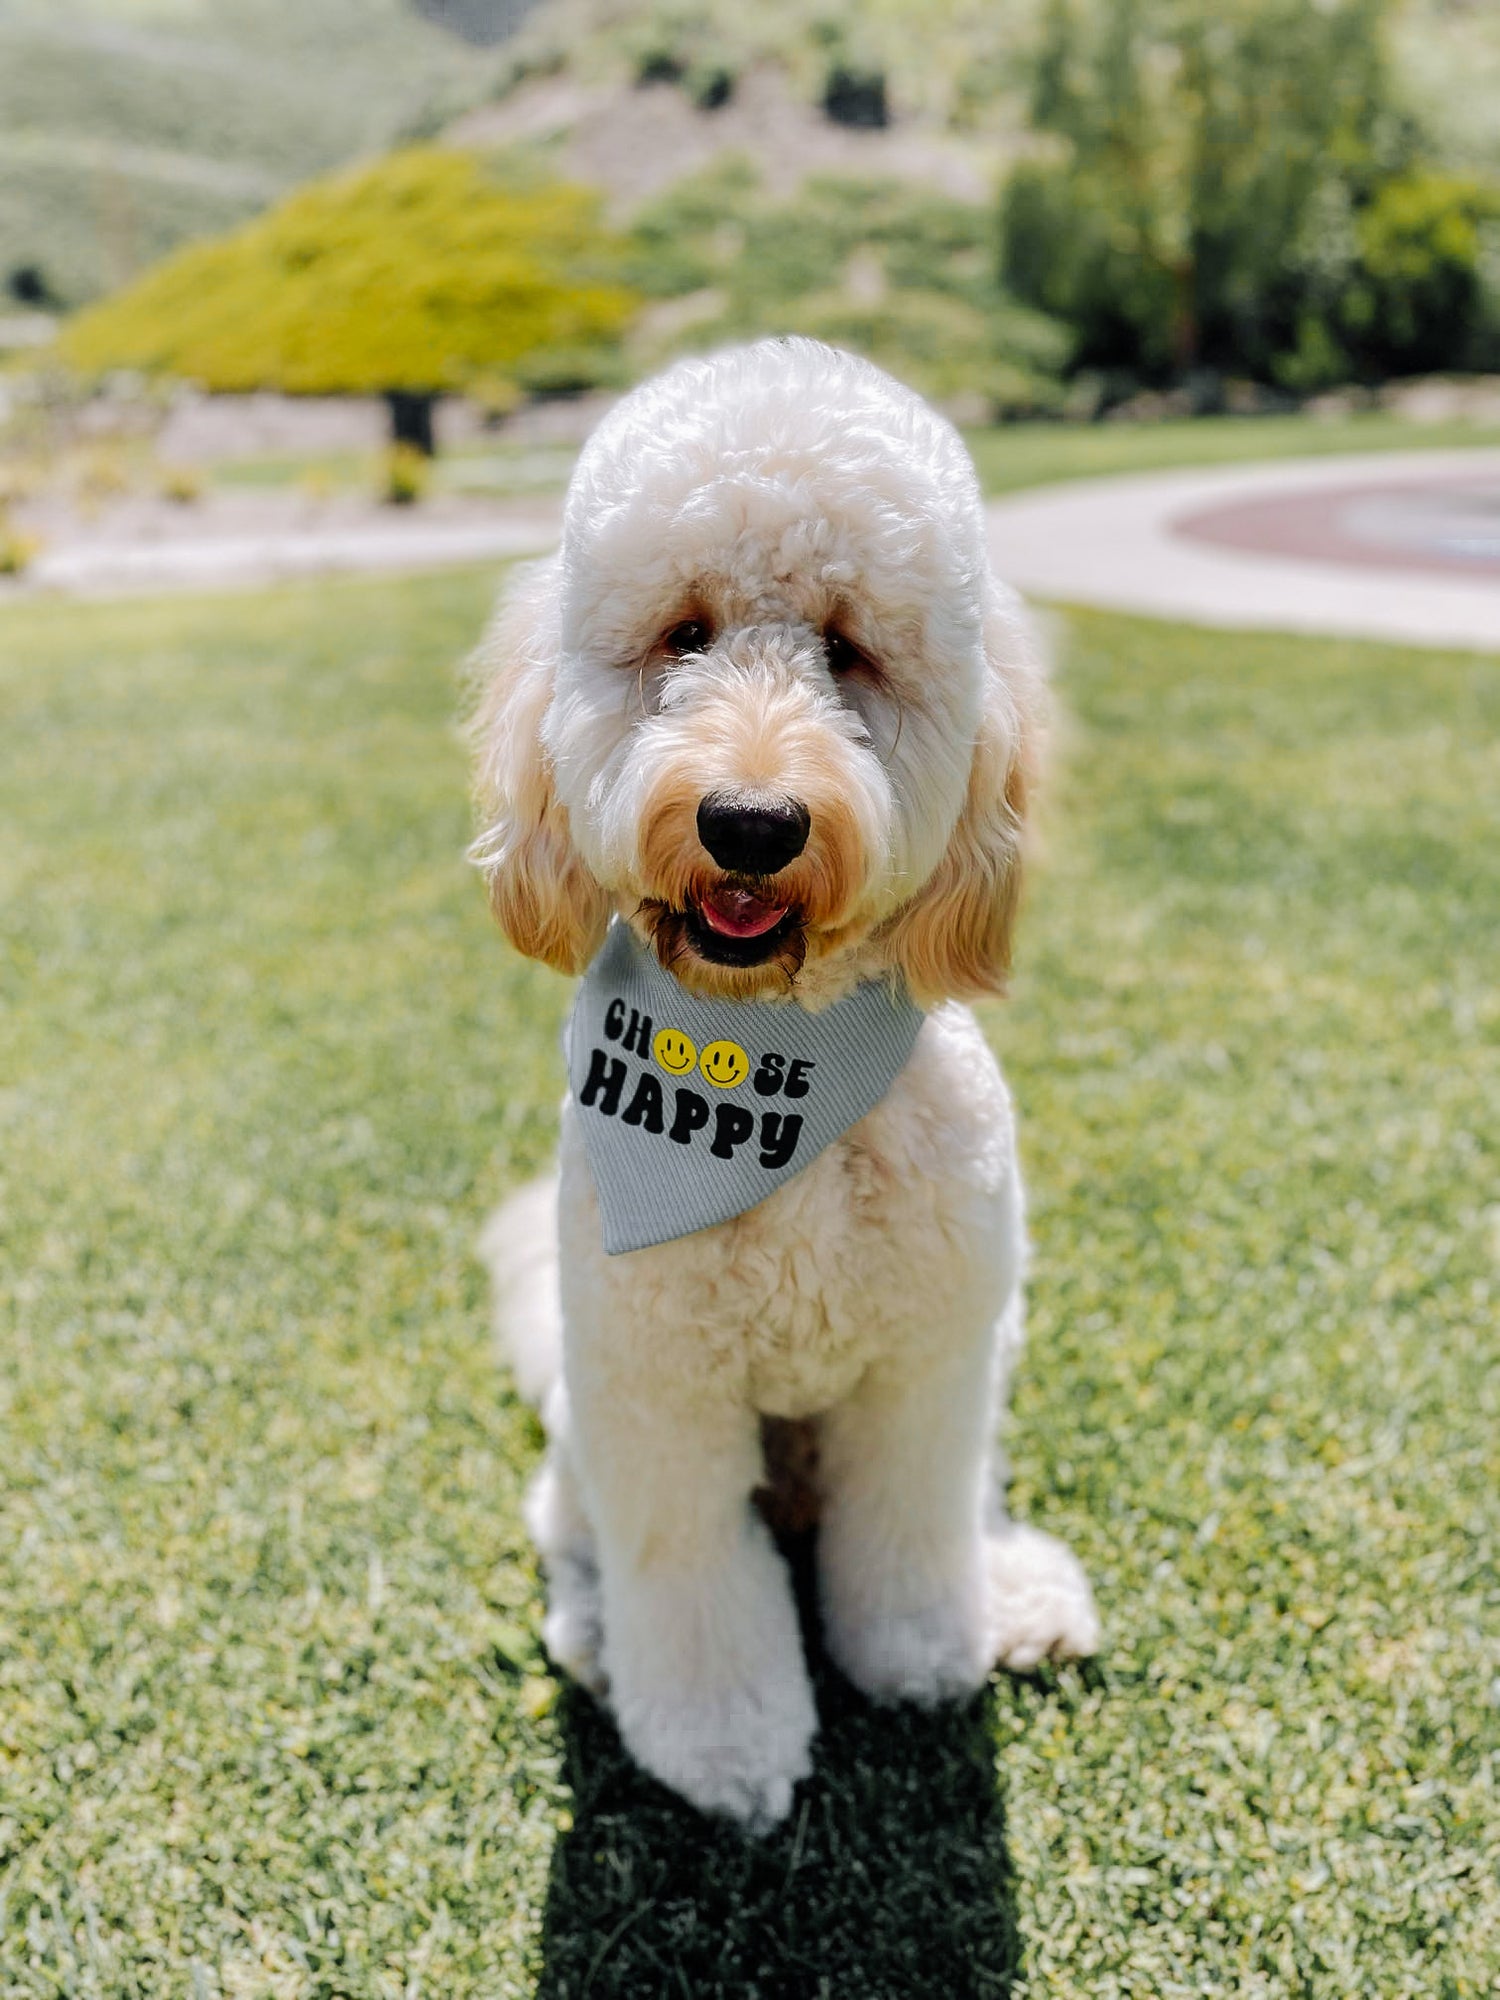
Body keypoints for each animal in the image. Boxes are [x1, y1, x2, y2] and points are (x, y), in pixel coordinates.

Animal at [472, 344, 1104, 1832]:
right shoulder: (657, 1398)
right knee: (575, 1541)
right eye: (685, 635)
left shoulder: (928, 1367)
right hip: (581, 1430)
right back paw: (596, 1636)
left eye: (847, 648)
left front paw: (928, 1649)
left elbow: (915, 1530)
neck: (763, 1065)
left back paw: (1017, 1591)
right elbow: (694, 1582)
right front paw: (721, 1747)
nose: (751, 823)